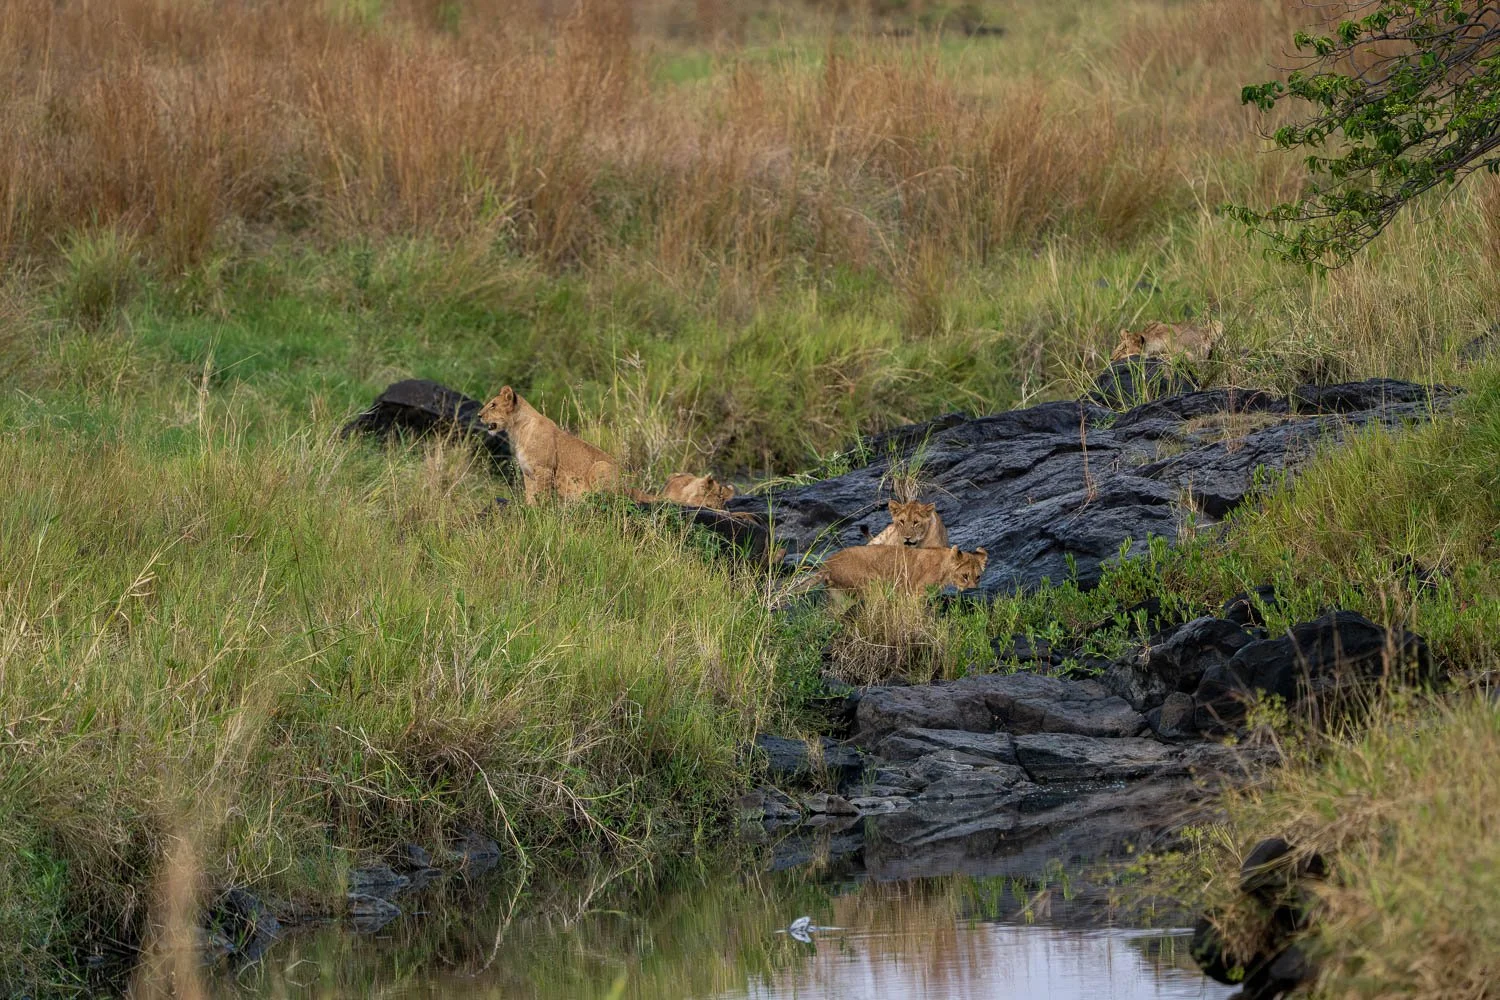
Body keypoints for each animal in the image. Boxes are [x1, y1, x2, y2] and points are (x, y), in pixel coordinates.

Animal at [477, 386, 619, 503]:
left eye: (493, 405)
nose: (478, 415)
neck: (517, 431)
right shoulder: (527, 472)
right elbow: (530, 497)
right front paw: (531, 513)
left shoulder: (544, 469)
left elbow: (542, 496)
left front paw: (542, 513)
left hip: (600, 466)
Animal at [803, 544, 988, 594]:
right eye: (965, 576)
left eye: (978, 577)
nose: (973, 589)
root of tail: (826, 563)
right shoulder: (917, 591)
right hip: (871, 581)